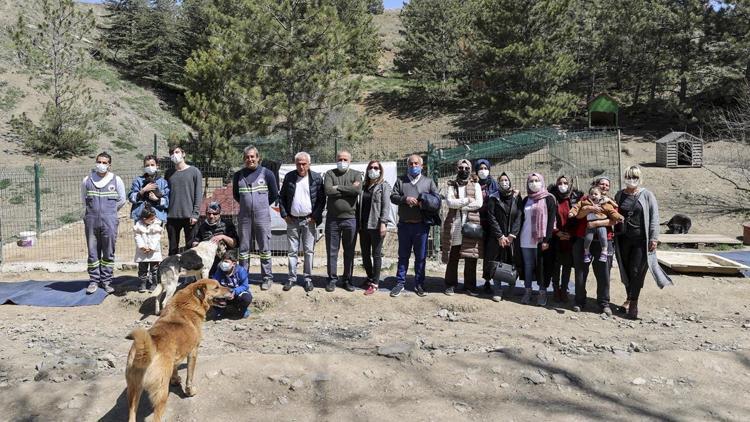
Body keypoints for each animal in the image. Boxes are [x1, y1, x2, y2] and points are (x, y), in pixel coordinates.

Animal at [126, 278, 234, 420]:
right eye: (217, 287)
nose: (232, 290)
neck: (186, 305)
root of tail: (144, 351)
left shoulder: (176, 354)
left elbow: (175, 368)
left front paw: (175, 380)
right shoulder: (193, 352)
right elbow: (190, 377)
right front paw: (189, 392)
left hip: (133, 391)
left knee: (131, 415)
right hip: (161, 395)